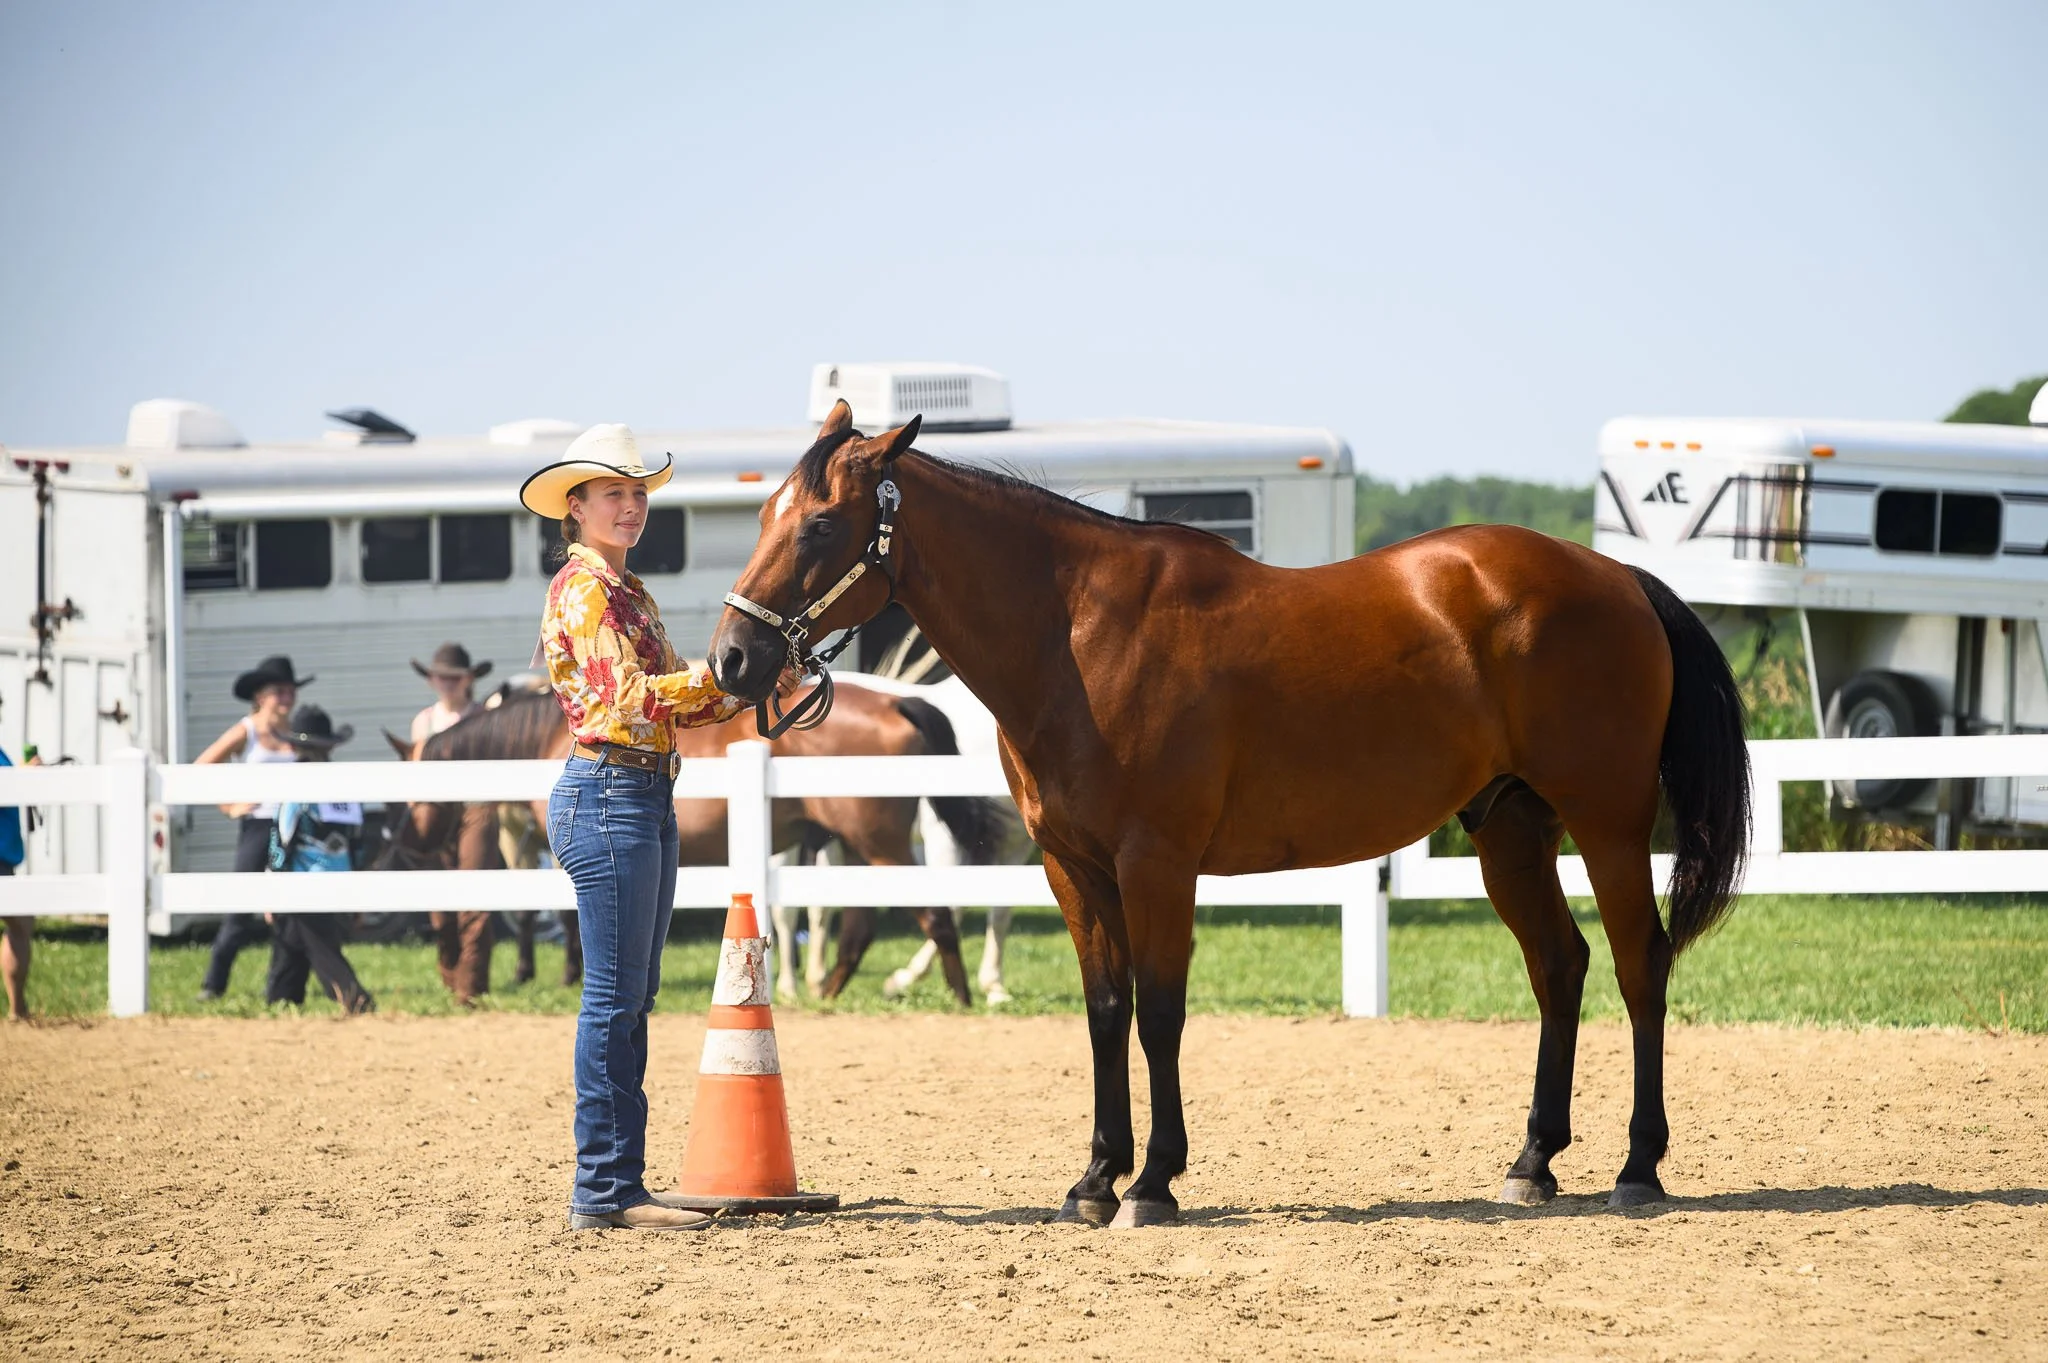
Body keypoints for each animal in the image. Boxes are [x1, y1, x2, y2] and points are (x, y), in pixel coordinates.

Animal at [379, 677, 1009, 1004]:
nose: (410, 846)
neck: (544, 736)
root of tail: (898, 699)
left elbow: (568, 919)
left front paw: (567, 974)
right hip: (855, 846)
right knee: (860, 928)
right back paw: (827, 992)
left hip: (880, 844)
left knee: (935, 916)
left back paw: (959, 997)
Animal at [707, 400, 1749, 1228]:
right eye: (762, 516)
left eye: (819, 526)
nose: (730, 661)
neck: (1077, 634)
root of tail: (1619, 579)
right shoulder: (1073, 868)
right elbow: (1107, 1009)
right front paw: (1095, 1178)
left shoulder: (1157, 864)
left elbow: (1161, 1012)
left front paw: (1154, 1184)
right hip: (1510, 831)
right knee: (1559, 967)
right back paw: (1533, 1161)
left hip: (1608, 823)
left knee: (1639, 965)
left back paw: (1638, 1165)